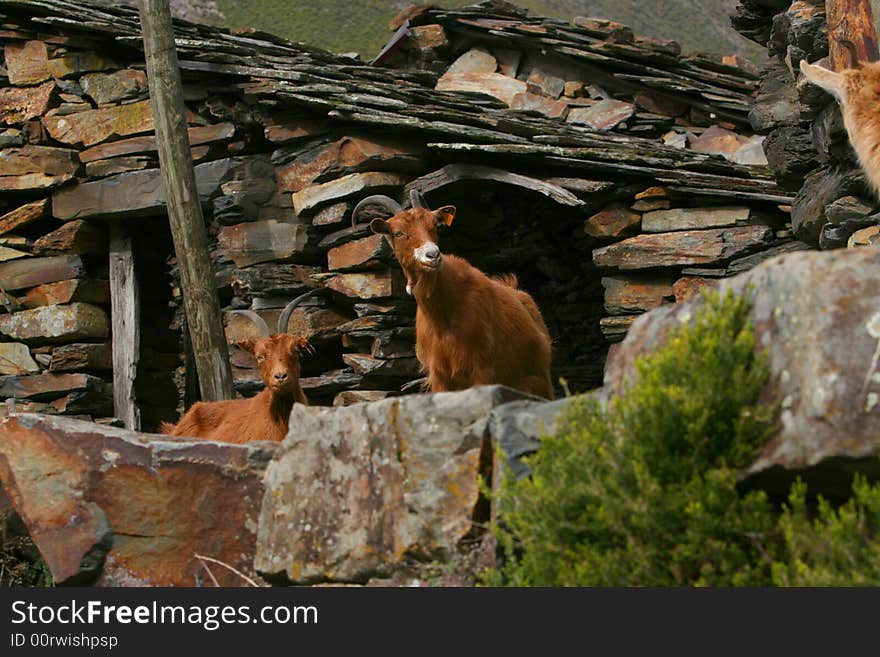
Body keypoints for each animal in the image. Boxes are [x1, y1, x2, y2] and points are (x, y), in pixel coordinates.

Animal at [354, 188, 552, 394]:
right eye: (398, 233)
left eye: (435, 226)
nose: (433, 255)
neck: (442, 317)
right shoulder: (439, 375)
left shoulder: (482, 369)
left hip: (541, 380)